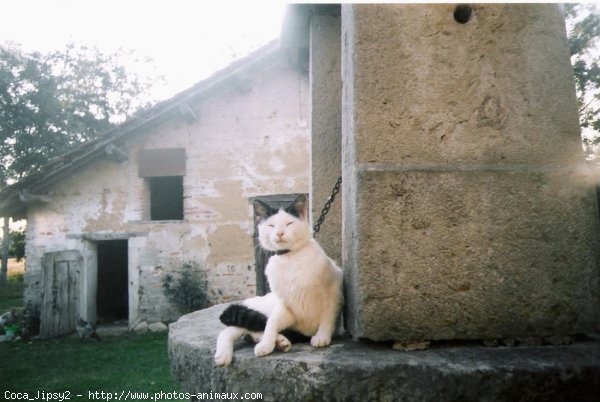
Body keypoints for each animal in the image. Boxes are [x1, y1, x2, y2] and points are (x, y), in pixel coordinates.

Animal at [214, 195, 342, 368]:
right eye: (271, 225)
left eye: (289, 223)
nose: (280, 233)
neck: (290, 259)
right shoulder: (285, 304)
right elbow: (272, 323)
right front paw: (266, 344)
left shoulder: (332, 292)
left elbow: (327, 316)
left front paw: (322, 336)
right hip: (264, 308)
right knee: (233, 329)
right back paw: (225, 354)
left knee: (249, 331)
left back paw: (280, 341)